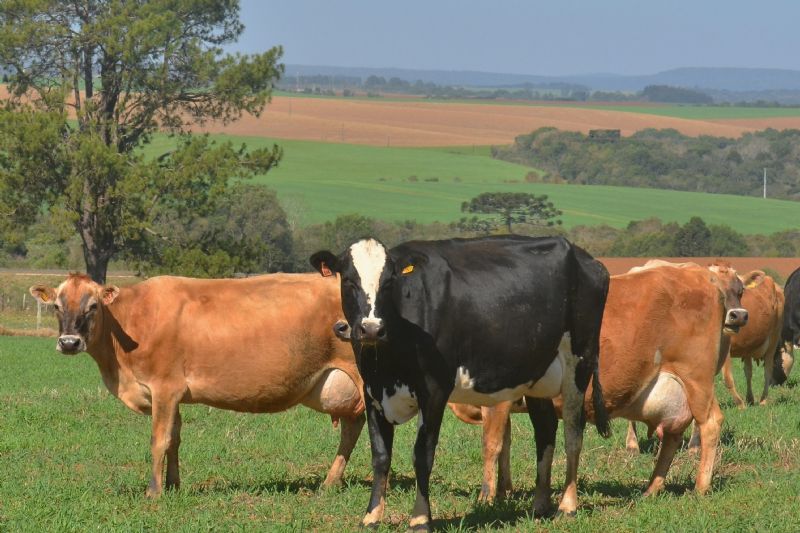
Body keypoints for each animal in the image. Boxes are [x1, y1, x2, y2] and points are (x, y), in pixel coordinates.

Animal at [29, 273, 365, 497]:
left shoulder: (164, 388)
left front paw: (154, 493)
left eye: (94, 306)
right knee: (352, 430)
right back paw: (329, 484)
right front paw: (174, 486)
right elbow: (175, 440)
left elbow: (159, 440)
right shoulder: (174, 395)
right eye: (57, 306)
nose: (69, 342)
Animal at [311, 235, 611, 530]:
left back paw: (567, 506)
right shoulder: (372, 392)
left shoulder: (433, 390)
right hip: (537, 374)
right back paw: (540, 504)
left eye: (389, 282)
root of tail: (586, 257)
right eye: (348, 280)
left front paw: (420, 519)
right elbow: (381, 456)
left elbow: (423, 455)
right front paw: (371, 517)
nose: (371, 329)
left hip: (579, 361)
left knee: (573, 432)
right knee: (546, 429)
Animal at [459, 263, 747, 501]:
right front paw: (503, 491)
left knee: (710, 422)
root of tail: (700, 274)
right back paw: (651, 489)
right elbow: (504, 443)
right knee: (673, 436)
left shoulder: (498, 398)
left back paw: (700, 488)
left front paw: (486, 497)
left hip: (697, 379)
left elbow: (492, 444)